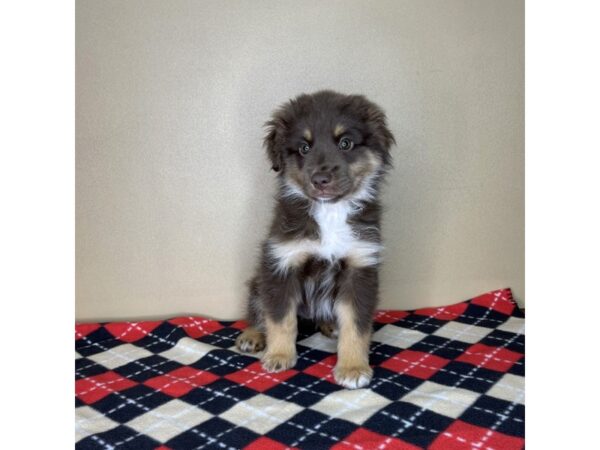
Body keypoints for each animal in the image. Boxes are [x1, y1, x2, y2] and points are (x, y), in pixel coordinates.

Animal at [234, 89, 394, 388]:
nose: (321, 179)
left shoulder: (360, 267)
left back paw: (330, 325)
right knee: (259, 312)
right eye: (304, 148)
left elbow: (356, 324)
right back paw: (252, 336)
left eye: (345, 143)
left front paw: (353, 367)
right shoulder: (281, 264)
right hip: (258, 283)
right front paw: (279, 355)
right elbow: (280, 318)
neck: (330, 212)